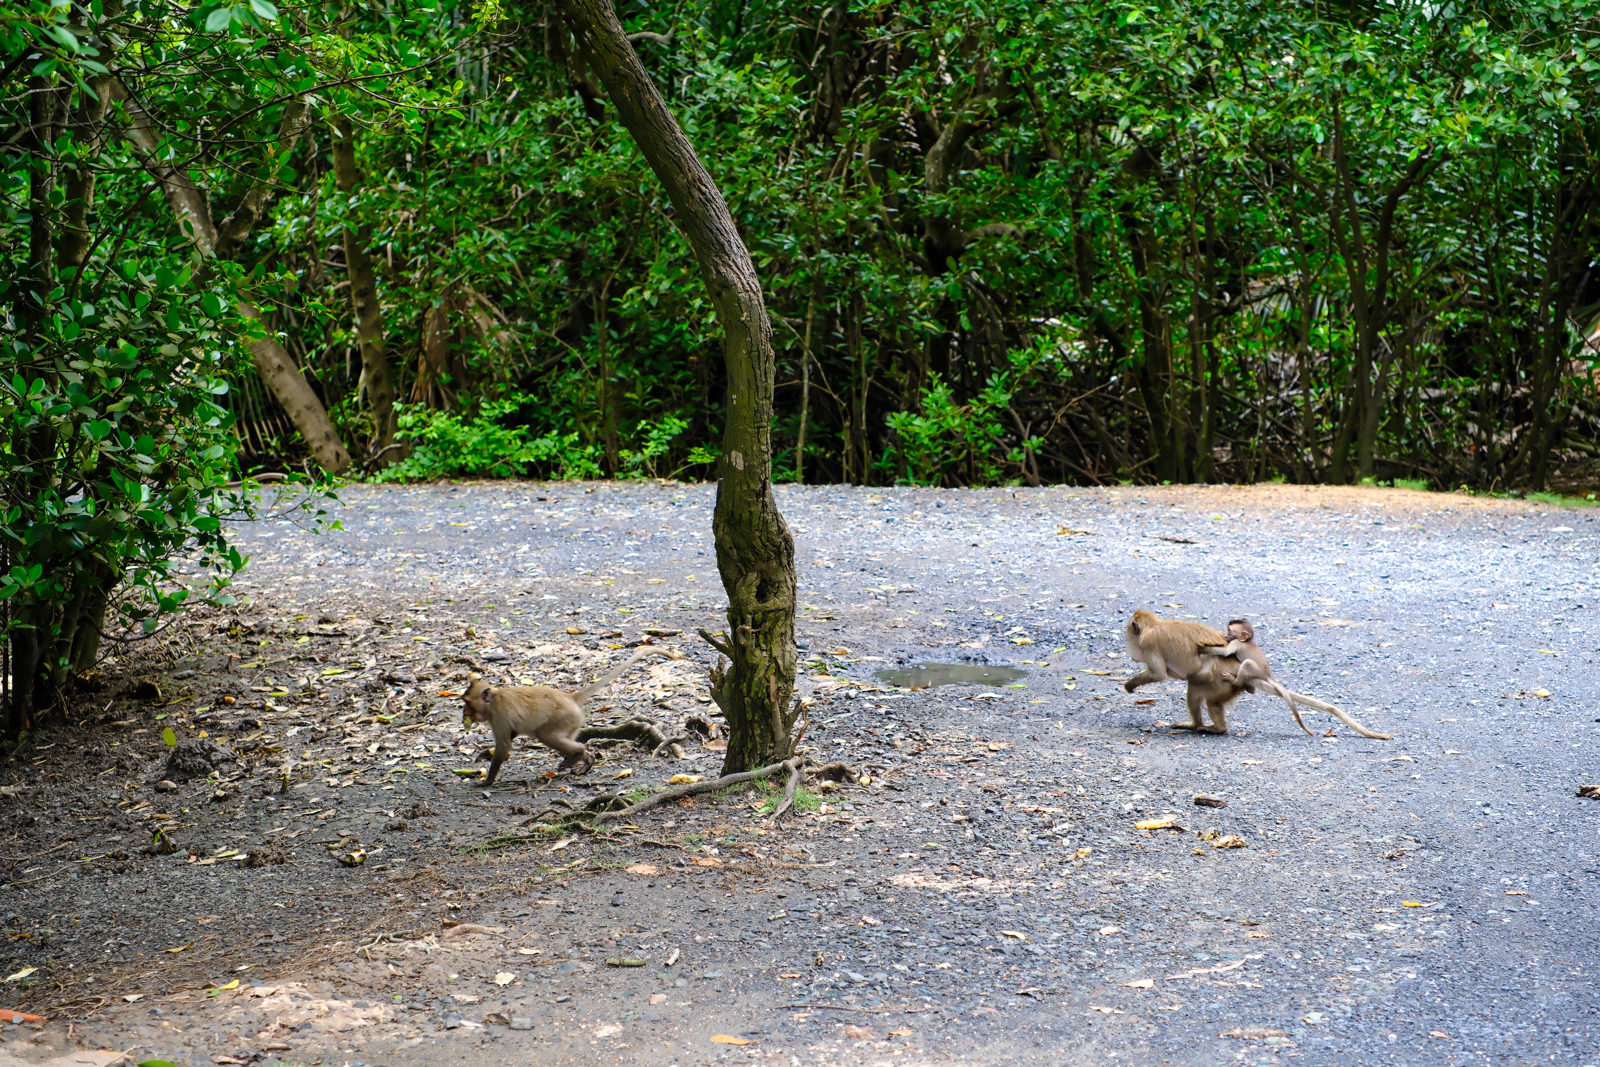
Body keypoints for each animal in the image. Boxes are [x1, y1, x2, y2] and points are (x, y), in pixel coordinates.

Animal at [461, 645, 680, 785]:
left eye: (467, 703)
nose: (464, 713)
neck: (494, 699)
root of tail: (570, 697)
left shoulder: (499, 715)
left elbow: (504, 744)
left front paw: (488, 780)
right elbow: (511, 736)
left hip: (564, 717)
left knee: (546, 735)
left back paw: (577, 755)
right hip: (573, 722)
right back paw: (586, 760)